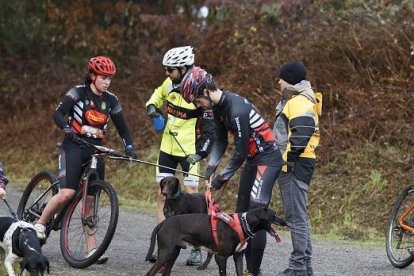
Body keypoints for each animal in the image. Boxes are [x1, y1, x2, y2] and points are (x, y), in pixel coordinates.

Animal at [145, 208, 284, 274]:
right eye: (274, 215)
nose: (285, 222)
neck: (242, 223)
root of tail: (164, 222)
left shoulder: (238, 257)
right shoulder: (222, 257)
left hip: (173, 254)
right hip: (165, 254)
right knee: (150, 273)